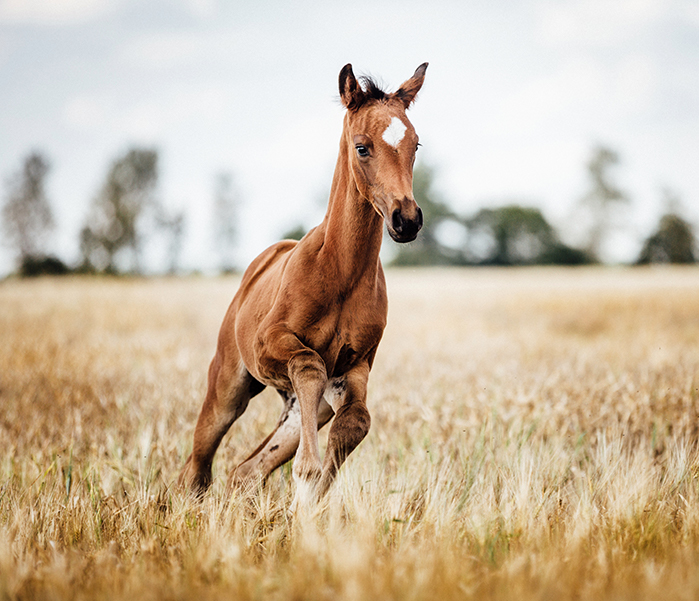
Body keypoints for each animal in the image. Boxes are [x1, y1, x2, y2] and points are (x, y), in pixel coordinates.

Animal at [178, 62, 430, 506]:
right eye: (362, 147)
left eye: (415, 145)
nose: (407, 220)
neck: (341, 273)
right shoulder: (272, 344)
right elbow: (309, 363)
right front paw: (308, 478)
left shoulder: (354, 368)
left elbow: (357, 422)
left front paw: (312, 503)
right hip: (228, 384)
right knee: (197, 466)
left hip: (302, 404)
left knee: (246, 469)